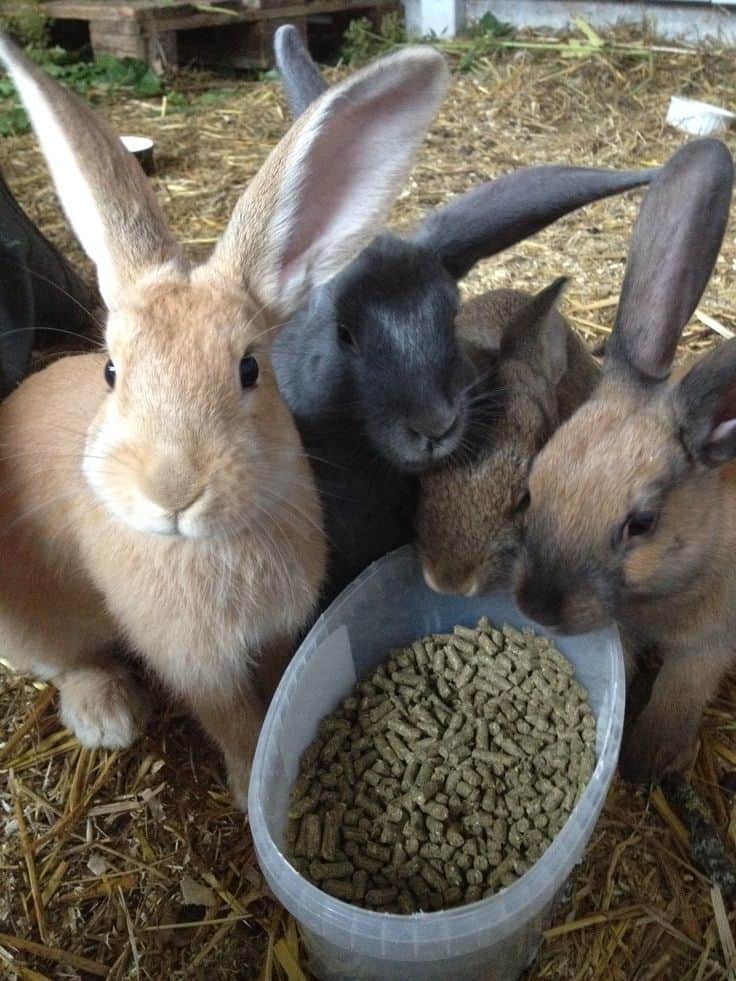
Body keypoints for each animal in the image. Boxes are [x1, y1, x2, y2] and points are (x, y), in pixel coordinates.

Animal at [0, 35, 449, 810]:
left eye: (248, 369)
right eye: (111, 371)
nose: (172, 490)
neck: (210, 545)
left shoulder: (276, 634)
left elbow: (269, 694)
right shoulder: (195, 661)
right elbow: (230, 719)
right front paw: (246, 788)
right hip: (34, 623)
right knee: (70, 661)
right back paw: (108, 718)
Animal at [513, 137, 736, 784]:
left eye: (642, 524)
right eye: (532, 489)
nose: (535, 606)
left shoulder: (709, 645)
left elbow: (679, 693)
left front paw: (644, 762)